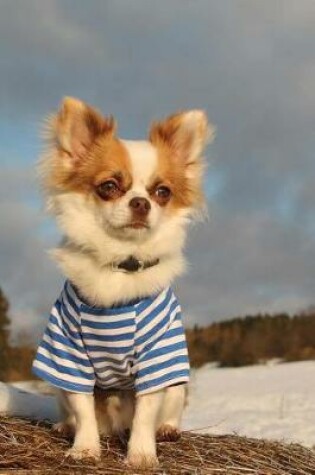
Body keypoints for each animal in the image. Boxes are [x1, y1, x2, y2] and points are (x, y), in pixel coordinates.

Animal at [32, 96, 215, 468]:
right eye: (109, 187)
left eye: (162, 192)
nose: (141, 202)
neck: (121, 263)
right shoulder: (68, 356)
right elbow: (84, 409)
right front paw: (85, 449)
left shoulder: (158, 357)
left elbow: (145, 413)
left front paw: (141, 455)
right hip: (58, 385)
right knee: (71, 410)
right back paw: (64, 426)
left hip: (177, 387)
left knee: (167, 411)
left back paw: (168, 430)